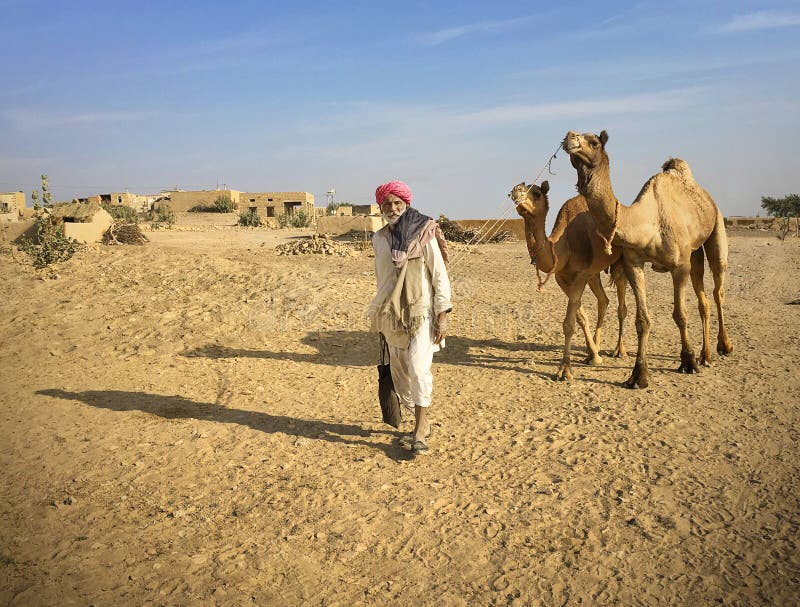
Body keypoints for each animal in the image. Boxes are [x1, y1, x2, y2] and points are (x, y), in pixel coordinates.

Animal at [510, 180, 628, 380]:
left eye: (537, 192)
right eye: (516, 187)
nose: (516, 191)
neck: (562, 246)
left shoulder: (580, 275)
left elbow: (569, 324)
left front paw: (564, 370)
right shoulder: (563, 278)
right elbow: (581, 317)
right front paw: (594, 355)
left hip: (620, 261)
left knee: (621, 306)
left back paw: (620, 351)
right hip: (594, 273)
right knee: (603, 300)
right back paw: (595, 346)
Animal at [564, 132, 732, 390]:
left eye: (593, 142)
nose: (569, 137)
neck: (648, 221)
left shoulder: (679, 266)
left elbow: (680, 314)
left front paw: (688, 361)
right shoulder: (634, 263)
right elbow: (642, 320)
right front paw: (638, 375)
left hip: (717, 227)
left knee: (718, 286)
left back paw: (723, 347)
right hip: (694, 253)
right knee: (703, 298)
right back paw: (706, 355)